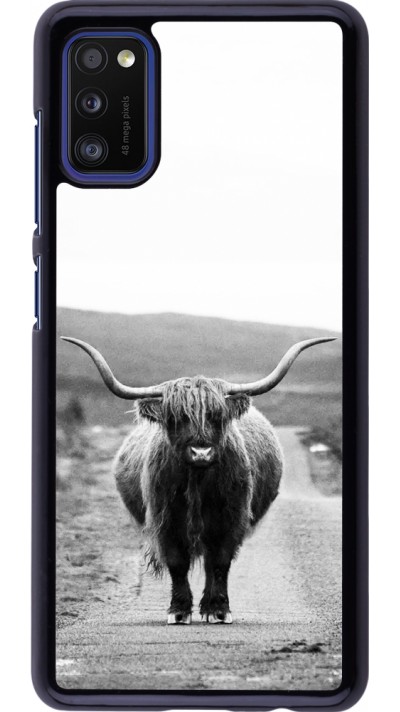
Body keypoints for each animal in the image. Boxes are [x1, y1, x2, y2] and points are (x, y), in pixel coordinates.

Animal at [62, 335, 335, 624]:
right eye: (176, 418)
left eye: (217, 416)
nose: (201, 452)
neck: (198, 481)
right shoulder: (165, 520)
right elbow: (177, 563)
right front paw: (179, 610)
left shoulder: (231, 519)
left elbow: (220, 562)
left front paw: (218, 609)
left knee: (210, 562)